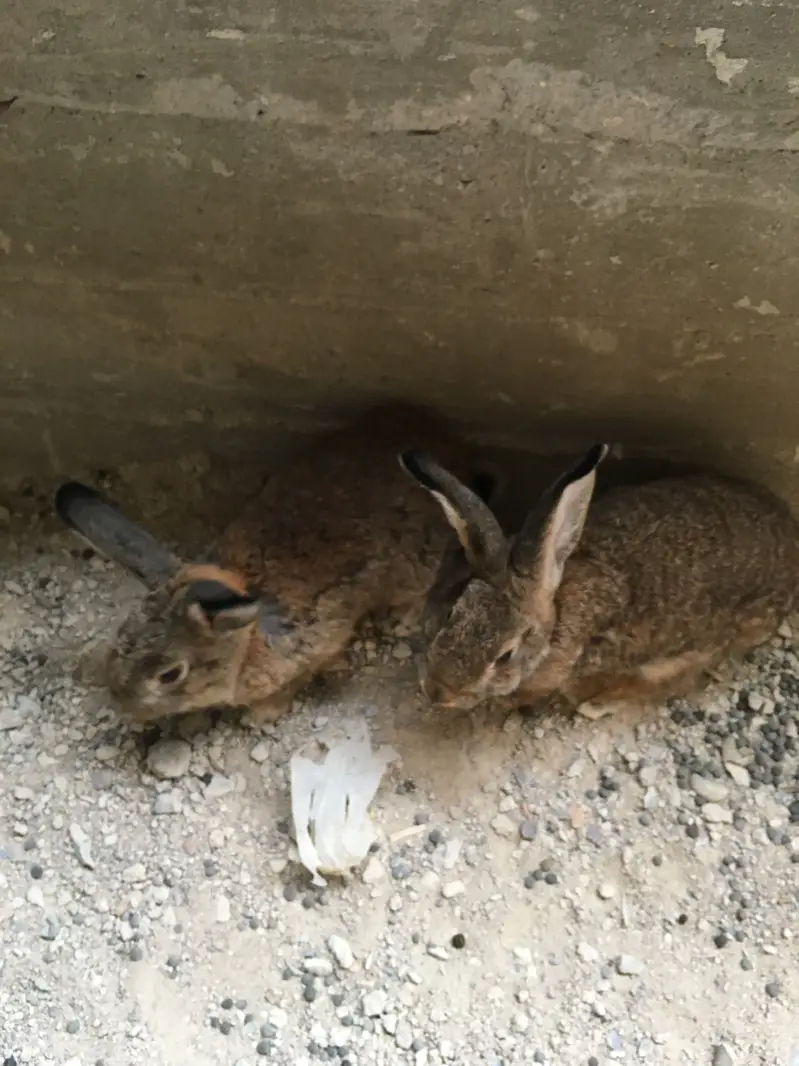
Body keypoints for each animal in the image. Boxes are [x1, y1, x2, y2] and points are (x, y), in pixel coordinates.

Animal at [55, 404, 497, 725]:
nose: (122, 704)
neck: (245, 641)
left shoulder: (314, 648)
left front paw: (259, 716)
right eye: (119, 643)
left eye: (170, 675)